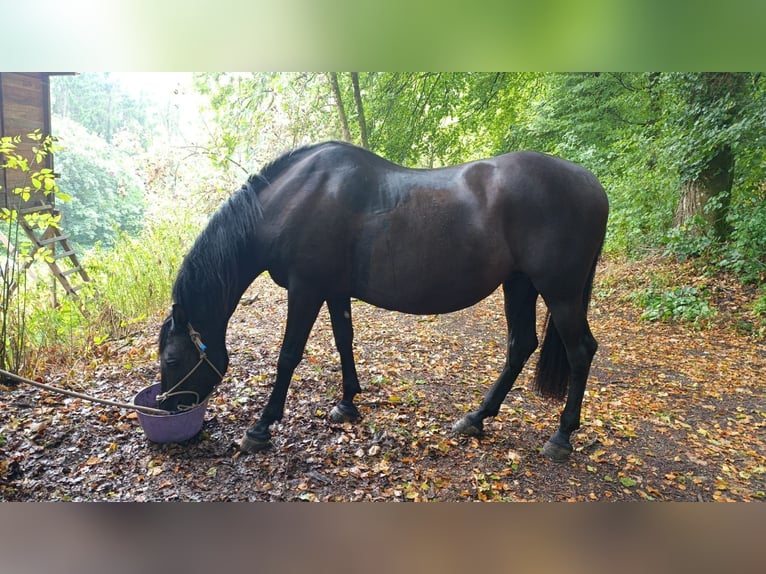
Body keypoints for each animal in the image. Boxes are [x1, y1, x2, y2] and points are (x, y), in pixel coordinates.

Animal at [158, 141, 608, 461]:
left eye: (172, 360)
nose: (168, 411)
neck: (294, 201)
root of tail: (592, 184)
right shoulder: (334, 291)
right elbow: (344, 341)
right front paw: (346, 404)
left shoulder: (306, 289)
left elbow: (288, 356)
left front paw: (260, 428)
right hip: (519, 285)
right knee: (521, 346)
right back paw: (475, 419)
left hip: (561, 292)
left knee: (580, 351)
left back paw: (561, 437)